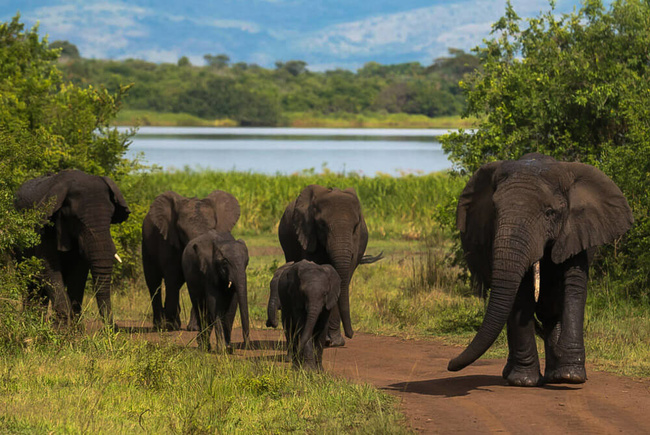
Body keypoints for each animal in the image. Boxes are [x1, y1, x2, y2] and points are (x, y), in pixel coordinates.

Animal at [14, 170, 130, 328]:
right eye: (77, 220)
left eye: (111, 218)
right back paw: (32, 323)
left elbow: (78, 272)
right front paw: (62, 328)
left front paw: (74, 329)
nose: (114, 327)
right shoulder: (43, 226)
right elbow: (48, 267)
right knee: (28, 282)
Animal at [142, 190, 240, 330]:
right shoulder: (168, 242)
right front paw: (171, 326)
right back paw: (160, 325)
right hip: (146, 245)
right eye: (182, 231)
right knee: (153, 283)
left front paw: (195, 328)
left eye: (212, 228)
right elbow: (172, 278)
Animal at [278, 186, 380, 350]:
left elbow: (341, 280)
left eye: (355, 227)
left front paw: (335, 342)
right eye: (322, 225)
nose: (351, 334)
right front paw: (326, 340)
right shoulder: (308, 234)